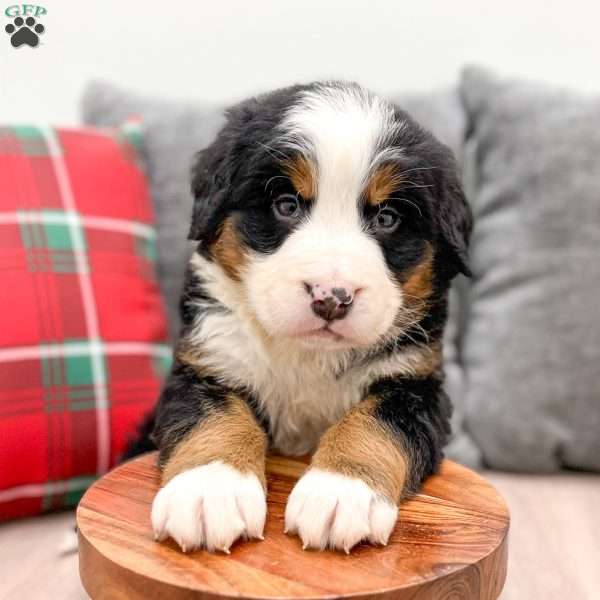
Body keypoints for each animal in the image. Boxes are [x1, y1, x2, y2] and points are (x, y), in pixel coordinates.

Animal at [146, 79, 474, 552]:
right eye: (286, 205)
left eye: (387, 217)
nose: (331, 297)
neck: (307, 357)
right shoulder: (207, 360)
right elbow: (213, 416)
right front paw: (209, 490)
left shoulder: (417, 384)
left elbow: (376, 423)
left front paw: (341, 491)